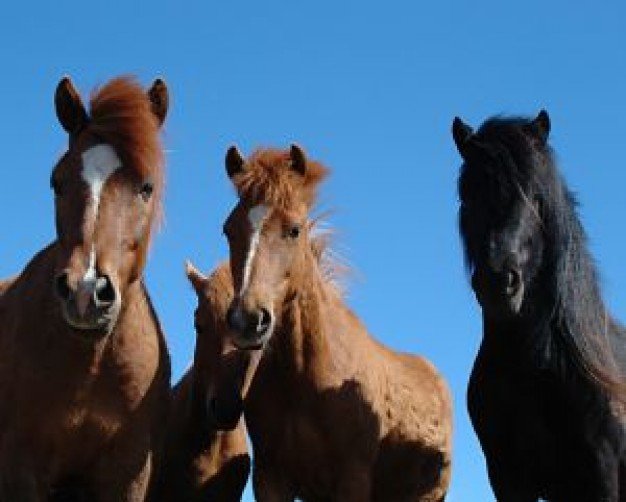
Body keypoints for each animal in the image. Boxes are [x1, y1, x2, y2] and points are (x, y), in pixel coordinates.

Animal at [222, 146, 450, 502]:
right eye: (228, 229)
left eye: (294, 230)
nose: (247, 320)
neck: (306, 375)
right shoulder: (270, 478)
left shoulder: (352, 478)